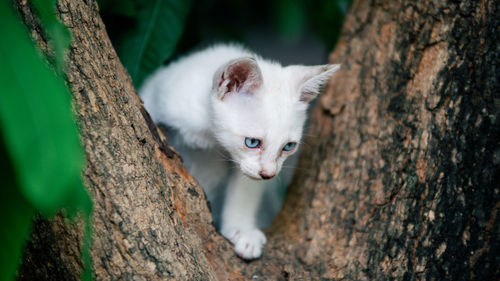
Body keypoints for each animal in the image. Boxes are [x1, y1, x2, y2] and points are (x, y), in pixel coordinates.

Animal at [140, 43, 340, 258]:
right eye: (252, 142)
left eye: (288, 146)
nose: (269, 174)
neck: (208, 134)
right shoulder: (159, 94)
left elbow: (245, 189)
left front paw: (242, 231)